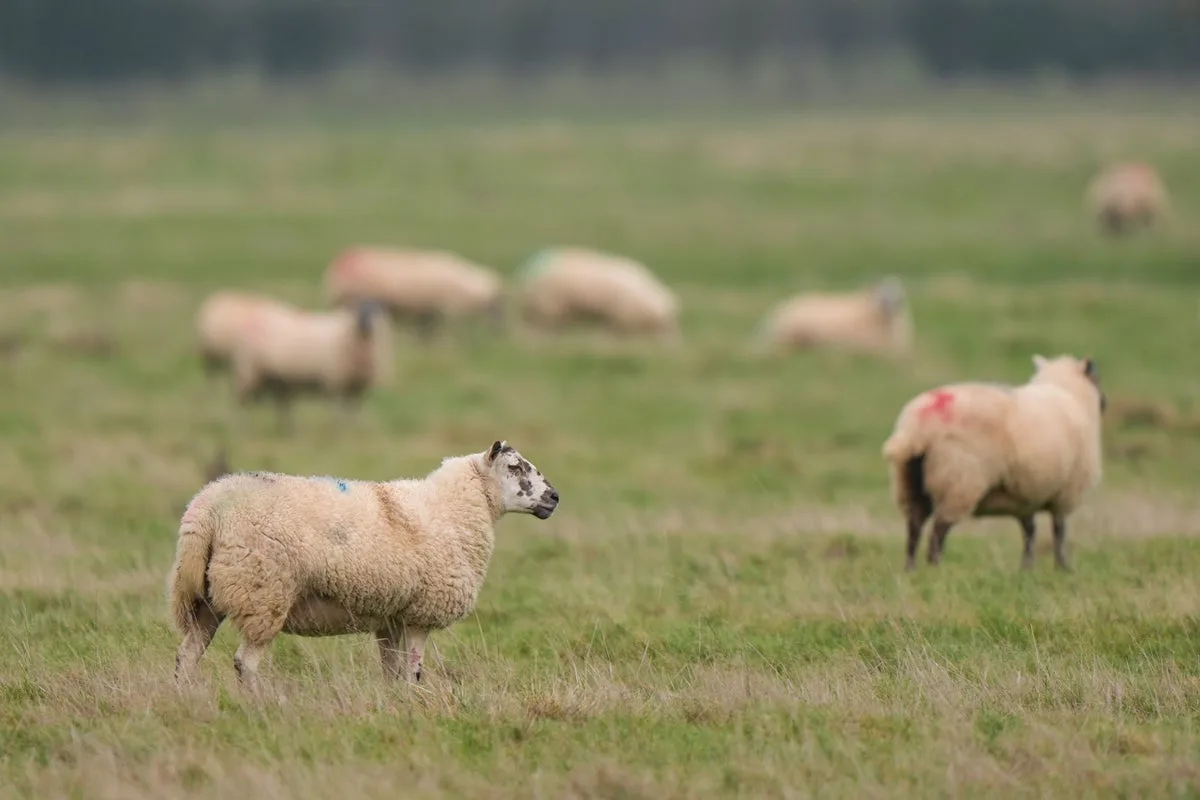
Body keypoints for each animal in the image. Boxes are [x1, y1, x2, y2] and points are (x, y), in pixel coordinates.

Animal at [168, 439, 559, 690]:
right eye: (515, 467)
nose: (555, 497)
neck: (451, 508)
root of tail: (205, 511)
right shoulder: (420, 615)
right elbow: (413, 673)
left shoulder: (392, 618)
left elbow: (392, 674)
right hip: (263, 593)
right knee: (244, 663)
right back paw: (261, 707)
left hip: (207, 597)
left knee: (186, 656)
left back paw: (186, 702)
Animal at [229, 299, 390, 433]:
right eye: (356, 309)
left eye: (375, 310)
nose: (366, 324)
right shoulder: (334, 382)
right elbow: (338, 410)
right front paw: (339, 431)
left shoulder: (357, 386)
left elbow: (353, 411)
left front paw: (353, 430)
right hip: (247, 371)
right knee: (242, 402)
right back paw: (243, 428)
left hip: (275, 380)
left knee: (281, 405)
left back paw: (287, 430)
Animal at [881, 354, 1106, 573]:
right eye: (1096, 378)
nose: (1105, 402)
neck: (1070, 393)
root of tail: (918, 427)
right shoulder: (1066, 494)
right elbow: (1059, 531)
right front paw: (1062, 568)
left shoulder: (1025, 498)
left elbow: (1029, 531)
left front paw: (1027, 569)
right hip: (959, 481)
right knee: (938, 531)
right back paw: (936, 570)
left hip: (908, 482)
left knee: (914, 528)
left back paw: (911, 570)